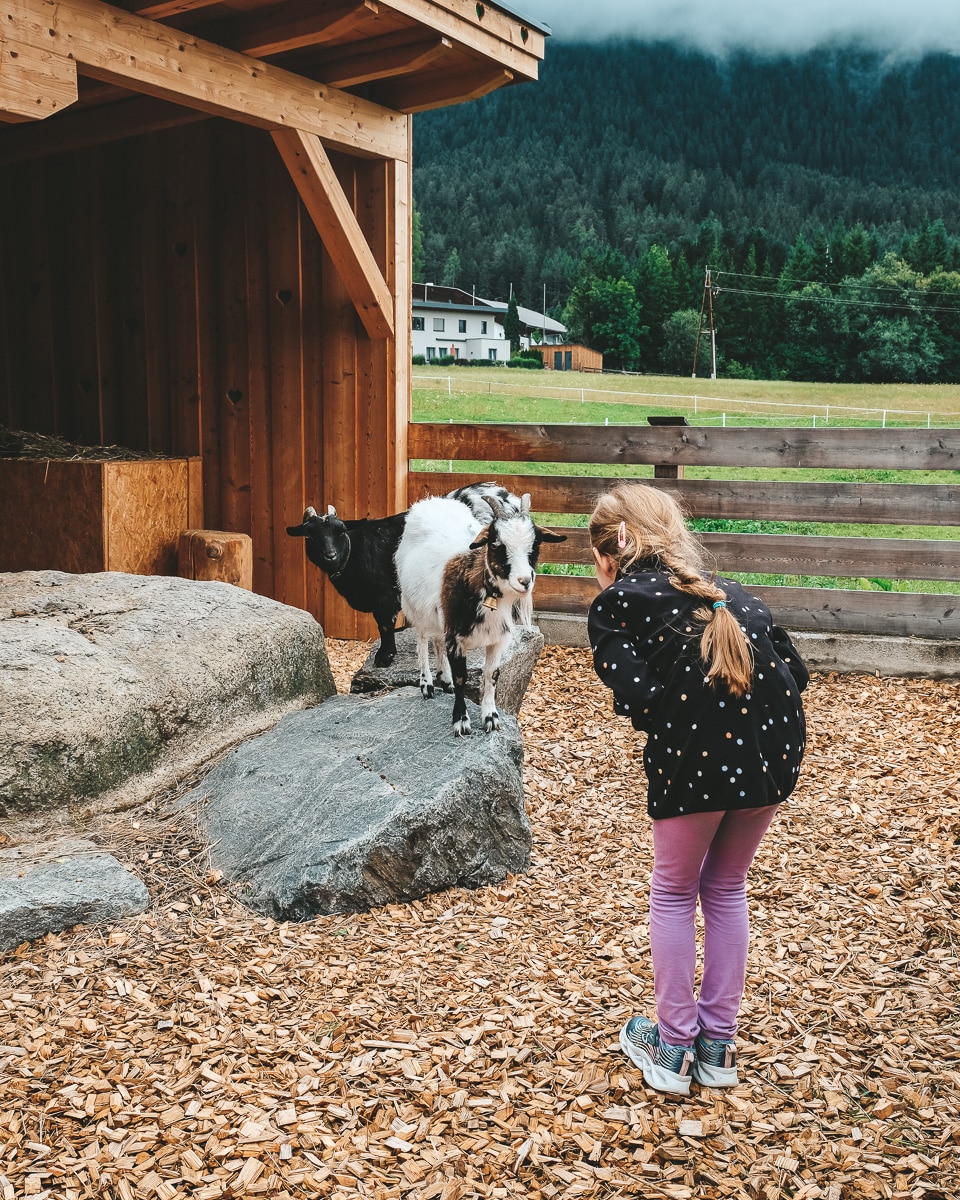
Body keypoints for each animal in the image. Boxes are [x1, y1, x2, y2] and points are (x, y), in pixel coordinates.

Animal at [285, 496, 405, 667]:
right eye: (309, 535)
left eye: (341, 531)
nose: (330, 555)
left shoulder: (385, 595)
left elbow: (385, 625)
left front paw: (384, 657)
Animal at [396, 492, 566, 734]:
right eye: (495, 544)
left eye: (535, 544)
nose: (524, 581)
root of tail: (430, 502)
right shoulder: (456, 638)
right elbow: (462, 677)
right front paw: (460, 721)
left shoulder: (498, 640)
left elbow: (491, 675)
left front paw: (491, 717)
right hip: (415, 606)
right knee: (422, 640)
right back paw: (426, 684)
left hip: (439, 614)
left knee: (437, 640)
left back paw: (444, 680)